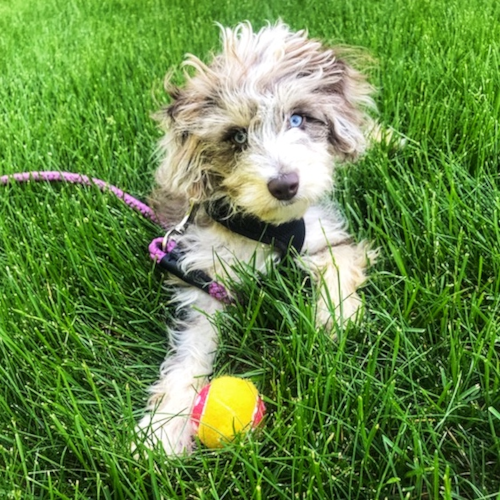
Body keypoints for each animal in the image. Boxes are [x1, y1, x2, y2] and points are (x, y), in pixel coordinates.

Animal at [135, 21, 376, 456]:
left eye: (298, 118)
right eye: (236, 137)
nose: (285, 185)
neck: (266, 226)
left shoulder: (324, 235)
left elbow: (338, 269)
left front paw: (334, 323)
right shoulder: (202, 280)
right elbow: (188, 353)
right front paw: (163, 428)